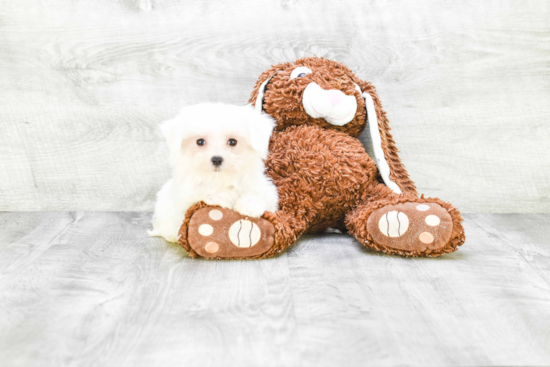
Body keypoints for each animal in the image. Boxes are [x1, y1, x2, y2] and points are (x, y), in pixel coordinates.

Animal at [148, 102, 280, 243]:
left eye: (233, 141)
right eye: (200, 141)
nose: (217, 159)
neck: (219, 178)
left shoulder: (263, 188)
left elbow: (259, 194)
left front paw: (250, 206)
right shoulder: (186, 195)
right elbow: (203, 194)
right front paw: (223, 197)